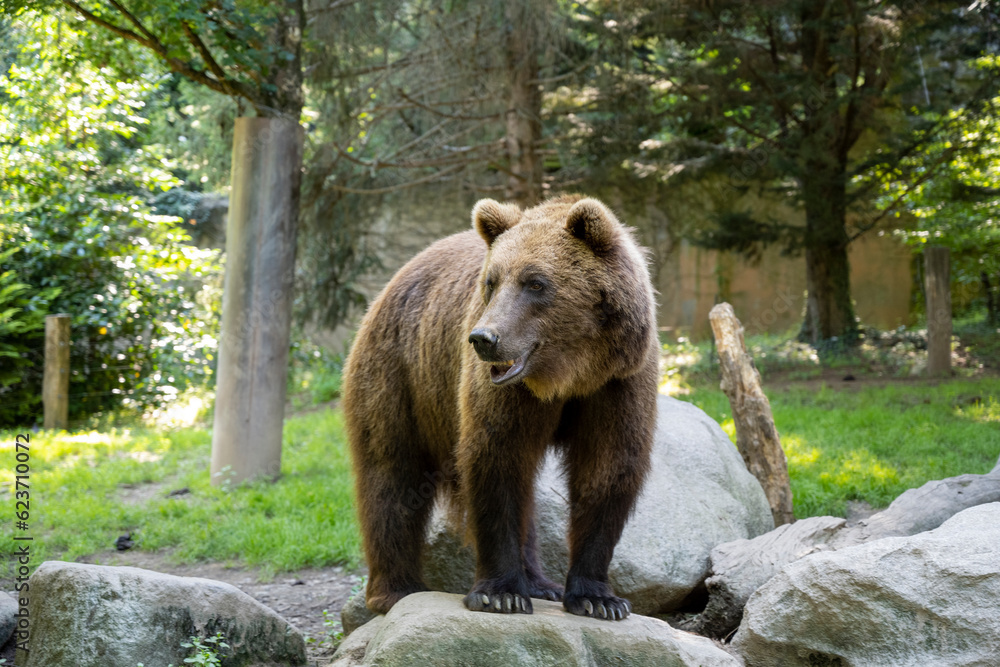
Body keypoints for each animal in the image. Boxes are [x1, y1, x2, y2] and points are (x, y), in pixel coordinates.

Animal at [340, 193, 660, 620]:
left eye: (536, 282)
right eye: (491, 282)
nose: (483, 338)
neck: (568, 376)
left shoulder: (619, 384)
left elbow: (608, 469)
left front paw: (598, 598)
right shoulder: (504, 392)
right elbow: (497, 460)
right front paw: (502, 593)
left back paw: (541, 583)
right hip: (399, 375)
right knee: (391, 474)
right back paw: (396, 589)